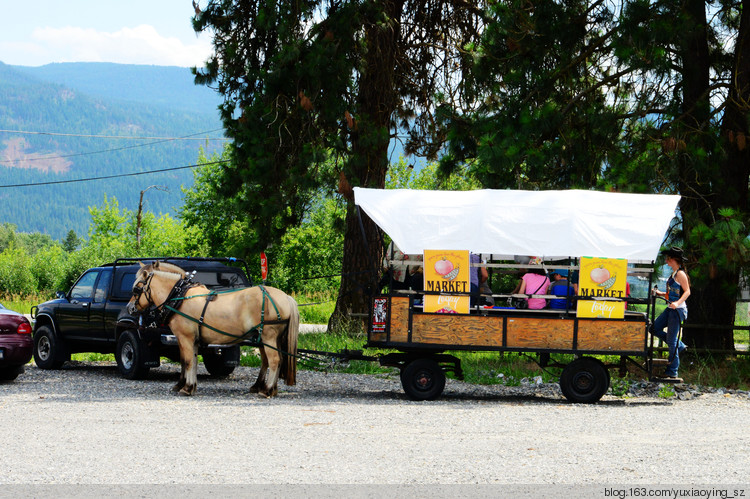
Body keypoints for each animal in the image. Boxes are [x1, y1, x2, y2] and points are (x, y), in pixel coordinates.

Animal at [126, 262, 300, 398]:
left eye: (136, 289)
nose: (129, 308)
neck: (179, 296)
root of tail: (285, 297)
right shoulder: (192, 340)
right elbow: (192, 361)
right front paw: (189, 385)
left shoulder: (185, 338)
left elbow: (187, 361)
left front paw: (186, 388)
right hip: (270, 338)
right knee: (273, 360)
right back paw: (269, 389)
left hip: (268, 336)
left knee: (274, 360)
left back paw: (266, 390)